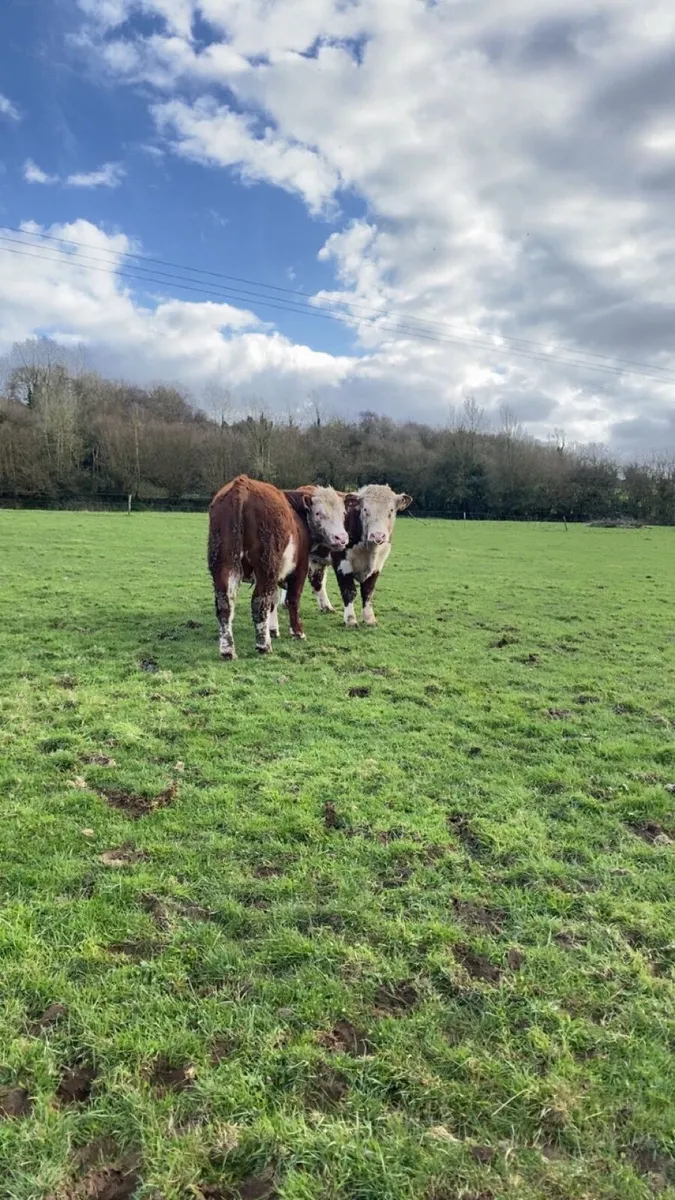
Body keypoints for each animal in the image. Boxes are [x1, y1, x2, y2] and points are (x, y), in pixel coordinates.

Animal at [208, 475, 348, 659]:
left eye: (343, 514)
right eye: (318, 513)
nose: (341, 538)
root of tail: (241, 486)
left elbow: (272, 601)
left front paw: (273, 630)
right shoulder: (300, 567)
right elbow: (292, 599)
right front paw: (297, 632)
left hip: (223, 566)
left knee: (224, 606)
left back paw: (228, 651)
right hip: (265, 567)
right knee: (258, 603)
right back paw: (263, 645)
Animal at [306, 484, 412, 626]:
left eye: (391, 510)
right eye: (365, 509)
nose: (378, 535)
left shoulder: (377, 565)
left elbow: (368, 591)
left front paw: (369, 619)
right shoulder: (342, 563)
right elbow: (349, 591)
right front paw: (350, 620)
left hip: (316, 560)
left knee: (317, 581)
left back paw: (327, 607)